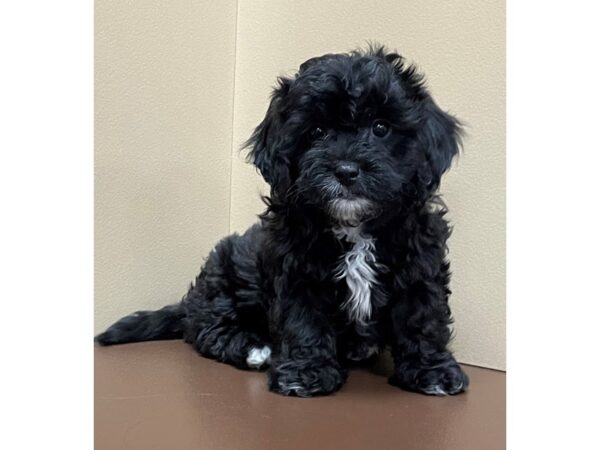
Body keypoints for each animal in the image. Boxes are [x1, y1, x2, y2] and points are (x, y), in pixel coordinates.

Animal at [96, 45, 468, 398]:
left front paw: (432, 372)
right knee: (206, 328)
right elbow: (304, 321)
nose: (346, 170)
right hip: (223, 276)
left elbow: (422, 319)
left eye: (381, 128)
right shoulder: (296, 271)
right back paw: (254, 348)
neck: (355, 227)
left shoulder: (419, 265)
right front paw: (305, 374)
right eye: (316, 131)